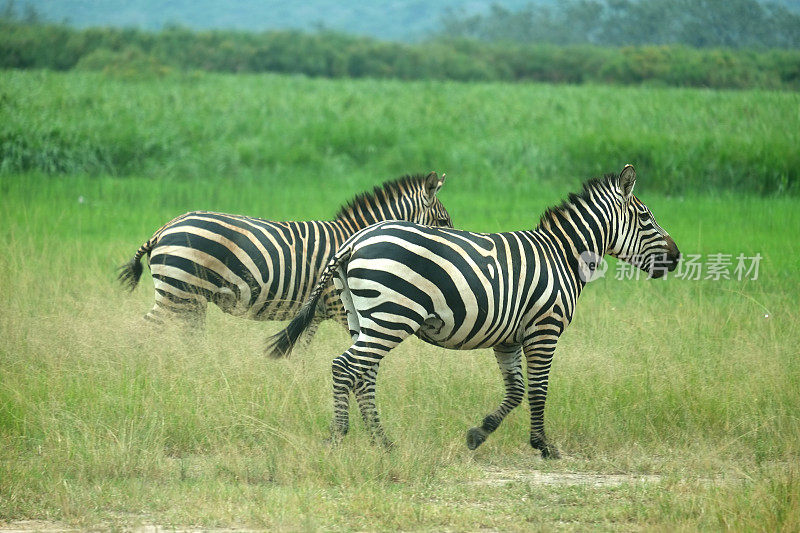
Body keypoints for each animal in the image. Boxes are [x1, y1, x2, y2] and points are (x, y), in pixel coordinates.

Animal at [120, 170, 456, 338]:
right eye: (442, 222)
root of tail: (164, 228)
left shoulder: (316, 314)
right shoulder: (339, 307)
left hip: (189, 299)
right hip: (178, 293)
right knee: (141, 332)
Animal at [270, 165, 680, 458]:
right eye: (646, 218)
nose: (676, 258)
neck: (562, 255)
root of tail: (355, 240)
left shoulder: (509, 339)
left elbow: (516, 391)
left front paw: (477, 435)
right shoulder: (544, 330)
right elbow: (539, 389)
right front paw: (545, 446)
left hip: (365, 318)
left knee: (363, 374)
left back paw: (382, 442)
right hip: (391, 317)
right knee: (345, 368)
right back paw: (338, 437)